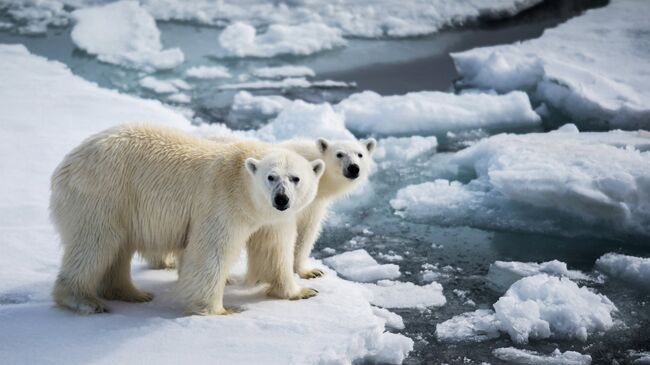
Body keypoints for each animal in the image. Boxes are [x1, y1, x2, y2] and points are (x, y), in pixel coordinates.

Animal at [50, 123, 324, 314]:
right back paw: (83, 300)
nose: (281, 199)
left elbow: (274, 250)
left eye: (295, 178)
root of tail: (65, 165)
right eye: (271, 177)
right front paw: (220, 310)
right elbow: (210, 252)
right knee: (95, 243)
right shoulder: (222, 202)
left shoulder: (271, 220)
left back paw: (132, 293)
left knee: (117, 249)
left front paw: (302, 291)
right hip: (103, 192)